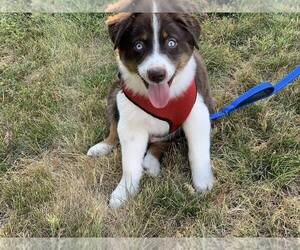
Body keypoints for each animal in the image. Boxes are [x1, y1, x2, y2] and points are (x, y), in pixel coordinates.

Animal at [87, 3, 216, 208]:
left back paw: (151, 162)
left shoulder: (198, 114)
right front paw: (123, 193)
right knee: (114, 128)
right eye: (138, 45)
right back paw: (104, 146)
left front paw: (203, 184)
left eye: (171, 42)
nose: (157, 74)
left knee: (163, 141)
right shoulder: (131, 124)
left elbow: (198, 153)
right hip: (115, 93)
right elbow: (130, 164)